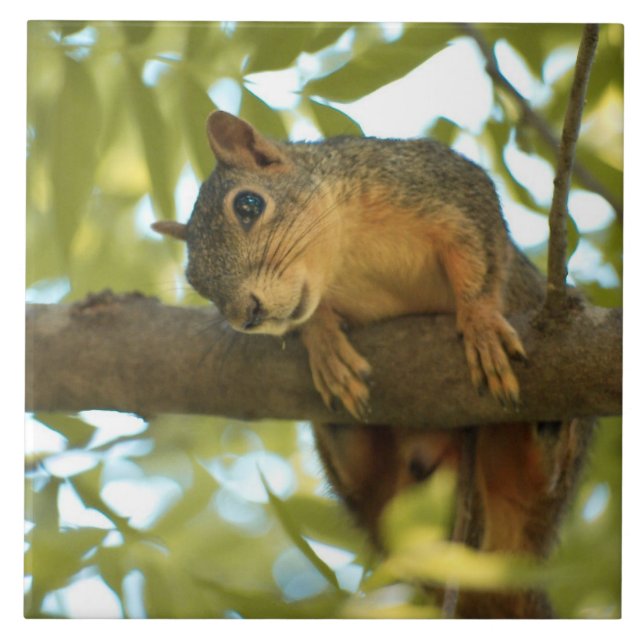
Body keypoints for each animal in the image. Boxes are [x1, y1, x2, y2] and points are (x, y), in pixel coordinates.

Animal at [152, 110, 593, 618]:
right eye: (196, 281)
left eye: (248, 205)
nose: (247, 315)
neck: (344, 256)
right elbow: (313, 317)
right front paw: (323, 340)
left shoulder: (442, 184)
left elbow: (478, 256)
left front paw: (480, 321)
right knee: (365, 474)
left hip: (542, 481)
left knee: (540, 479)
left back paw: (549, 427)